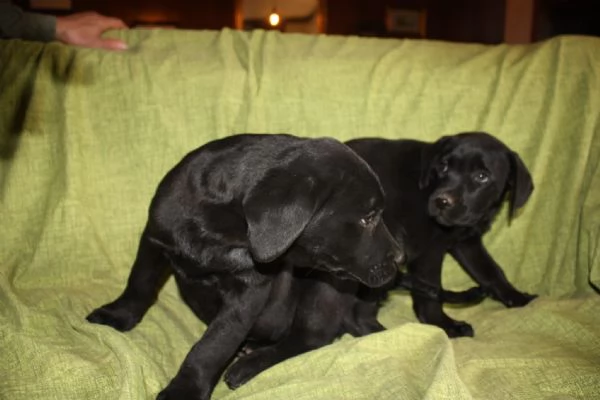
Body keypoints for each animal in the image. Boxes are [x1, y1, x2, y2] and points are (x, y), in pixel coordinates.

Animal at [85, 134, 404, 400]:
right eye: (367, 218)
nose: (400, 258)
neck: (220, 227)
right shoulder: (155, 238)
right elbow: (139, 282)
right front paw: (117, 315)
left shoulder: (247, 292)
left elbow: (212, 344)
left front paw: (185, 390)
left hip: (324, 286)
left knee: (311, 337)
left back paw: (250, 363)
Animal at [344, 132, 536, 338]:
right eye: (443, 166)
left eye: (482, 176)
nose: (441, 201)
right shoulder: (428, 253)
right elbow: (430, 293)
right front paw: (443, 325)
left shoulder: (467, 242)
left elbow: (491, 271)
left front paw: (517, 297)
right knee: (356, 314)